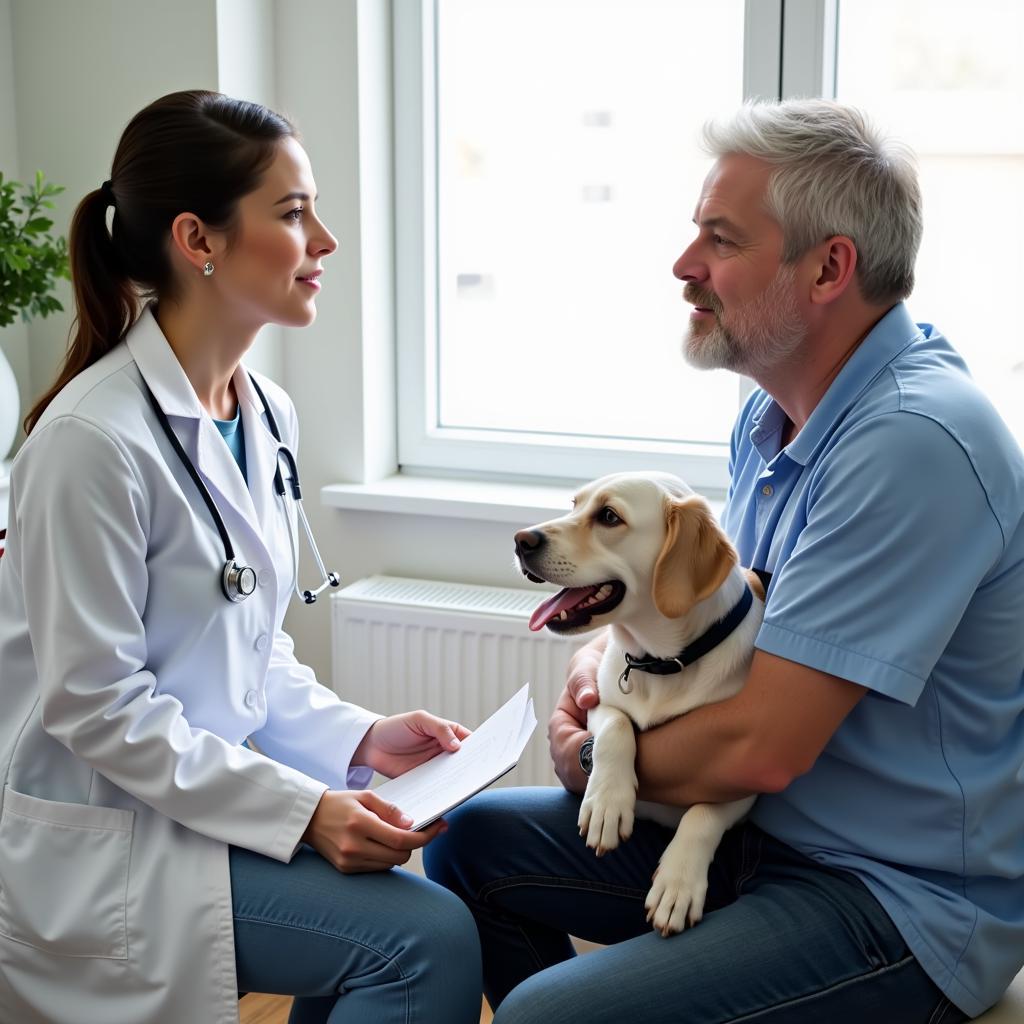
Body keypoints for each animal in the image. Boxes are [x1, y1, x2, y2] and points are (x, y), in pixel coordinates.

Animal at [516, 471, 765, 937]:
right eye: (575, 504)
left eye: (609, 516)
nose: (521, 539)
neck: (661, 664)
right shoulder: (598, 700)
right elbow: (617, 729)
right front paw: (606, 803)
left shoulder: (745, 776)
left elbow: (703, 813)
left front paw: (678, 882)